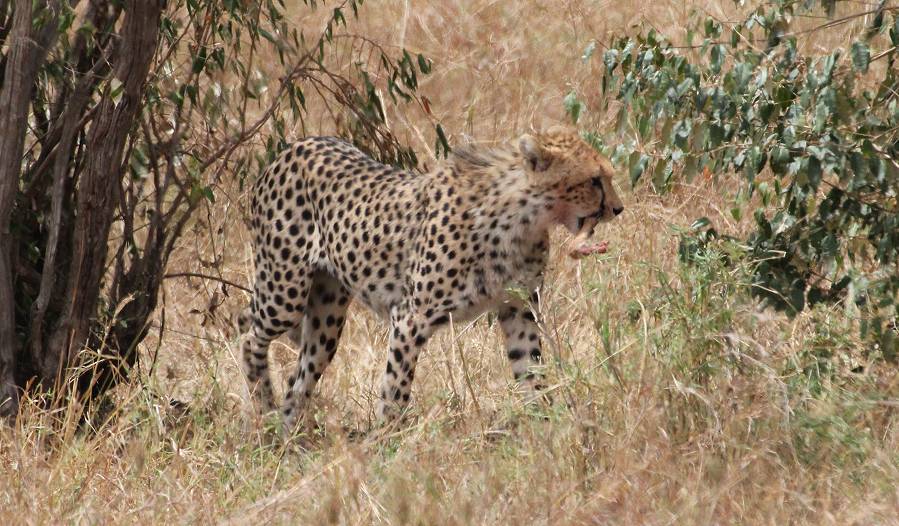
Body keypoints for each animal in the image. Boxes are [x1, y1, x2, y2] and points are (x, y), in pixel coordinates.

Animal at [236, 127, 624, 428]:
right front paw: (387, 443)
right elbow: (395, 388)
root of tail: (296, 145)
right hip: (284, 293)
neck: (523, 218)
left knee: (302, 372)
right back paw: (264, 410)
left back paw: (289, 432)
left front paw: (544, 423)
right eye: (594, 180)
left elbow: (530, 368)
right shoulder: (411, 317)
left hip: (326, 314)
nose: (617, 209)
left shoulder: (518, 308)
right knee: (248, 332)